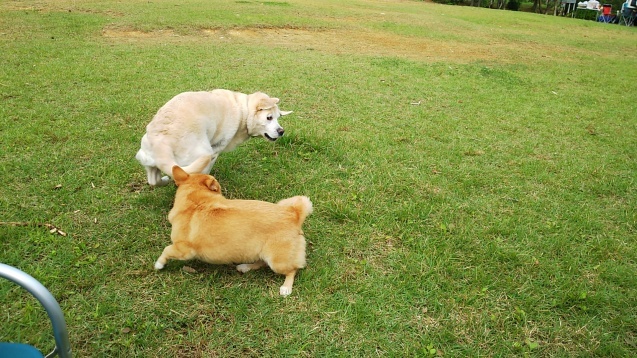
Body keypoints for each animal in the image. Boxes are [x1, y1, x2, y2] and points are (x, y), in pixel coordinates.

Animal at [137, 89, 294, 186]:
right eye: (269, 118)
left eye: (278, 117)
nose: (281, 131)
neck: (244, 110)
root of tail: (161, 141)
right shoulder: (215, 151)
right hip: (203, 154)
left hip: (150, 162)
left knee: (154, 181)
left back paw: (165, 180)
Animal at [155, 166, 314, 296]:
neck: (196, 202)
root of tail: (294, 214)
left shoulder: (183, 250)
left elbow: (166, 250)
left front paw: (159, 264)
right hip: (263, 253)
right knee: (261, 262)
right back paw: (245, 267)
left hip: (277, 261)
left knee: (292, 270)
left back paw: (286, 288)